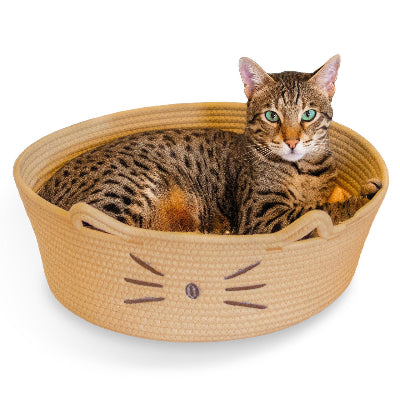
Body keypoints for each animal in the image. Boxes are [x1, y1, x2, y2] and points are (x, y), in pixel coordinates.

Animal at [38, 54, 382, 233]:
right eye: (272, 116)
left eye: (308, 114)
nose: (292, 141)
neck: (304, 170)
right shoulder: (260, 215)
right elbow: (321, 210)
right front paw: (361, 198)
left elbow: (324, 200)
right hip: (126, 191)